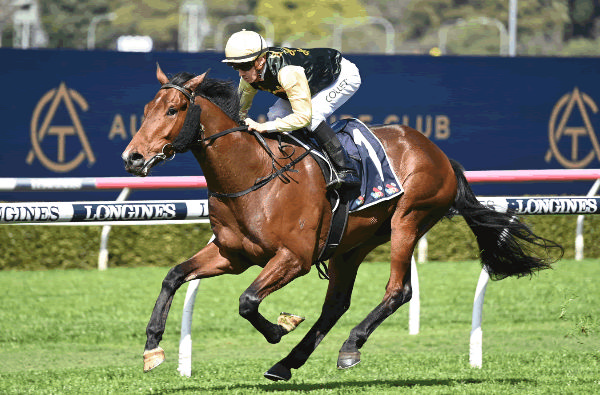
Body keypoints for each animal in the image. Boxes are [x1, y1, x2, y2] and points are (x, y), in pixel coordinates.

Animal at [122, 65, 564, 384]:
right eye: (145, 111)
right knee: (336, 303)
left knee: (398, 290)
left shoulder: (294, 257)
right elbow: (174, 275)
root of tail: (439, 153)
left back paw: (350, 345)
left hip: (409, 220)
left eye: (174, 110)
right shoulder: (232, 254)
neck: (253, 175)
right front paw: (152, 346)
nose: (132, 157)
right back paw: (287, 363)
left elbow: (247, 301)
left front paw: (279, 328)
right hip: (353, 243)